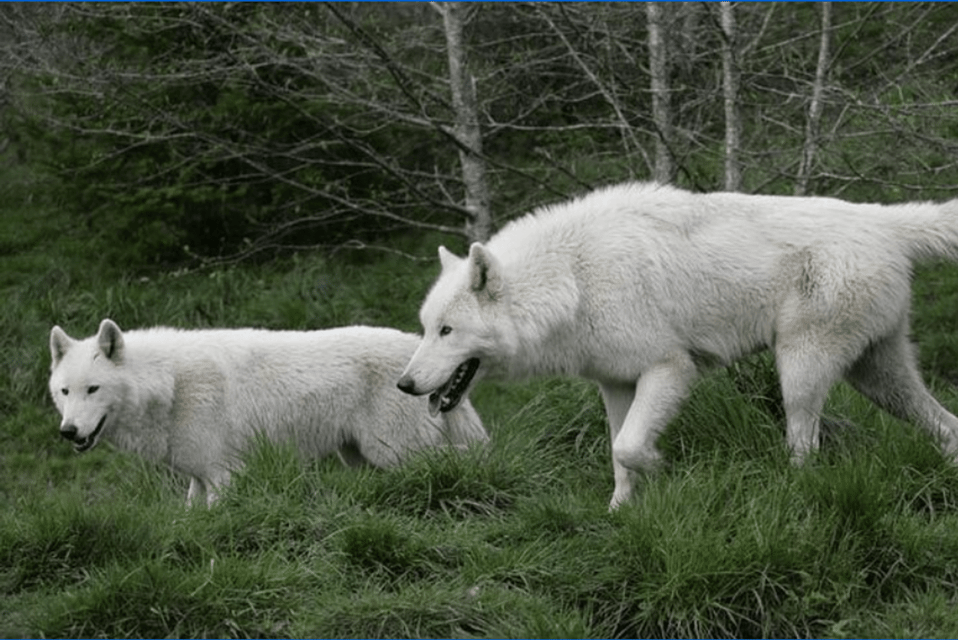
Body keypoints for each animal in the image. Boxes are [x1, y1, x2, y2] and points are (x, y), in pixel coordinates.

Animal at [50, 318, 488, 504]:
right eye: (64, 391)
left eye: (93, 389)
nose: (68, 431)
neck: (171, 385)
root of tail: (414, 351)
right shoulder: (199, 477)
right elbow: (190, 516)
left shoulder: (225, 475)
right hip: (363, 459)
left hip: (396, 453)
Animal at [400, 181, 958, 510]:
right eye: (424, 328)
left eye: (446, 331)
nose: (404, 384)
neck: (572, 278)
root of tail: (883, 220)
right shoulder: (616, 385)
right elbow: (617, 452)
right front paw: (620, 512)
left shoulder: (669, 367)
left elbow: (629, 447)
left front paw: (661, 469)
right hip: (878, 378)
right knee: (946, 423)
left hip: (800, 372)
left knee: (806, 444)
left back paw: (795, 488)